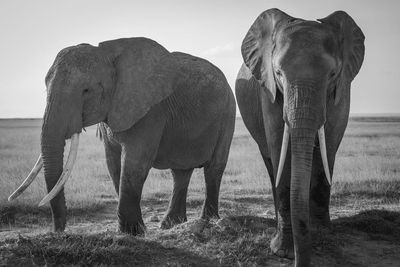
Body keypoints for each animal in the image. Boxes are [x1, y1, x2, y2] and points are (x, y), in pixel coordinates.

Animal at [9, 36, 236, 236]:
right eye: (45, 87)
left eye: (86, 90)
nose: (58, 231)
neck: (108, 56)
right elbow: (113, 163)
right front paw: (132, 230)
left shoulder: (150, 111)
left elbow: (135, 163)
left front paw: (133, 232)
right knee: (180, 172)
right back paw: (171, 224)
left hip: (228, 112)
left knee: (214, 169)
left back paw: (209, 220)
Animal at [236, 8, 364, 267]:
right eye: (278, 73)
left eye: (332, 73)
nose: (299, 260)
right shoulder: (269, 90)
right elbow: (279, 148)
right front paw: (284, 252)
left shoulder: (342, 89)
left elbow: (329, 147)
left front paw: (324, 241)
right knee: (271, 163)